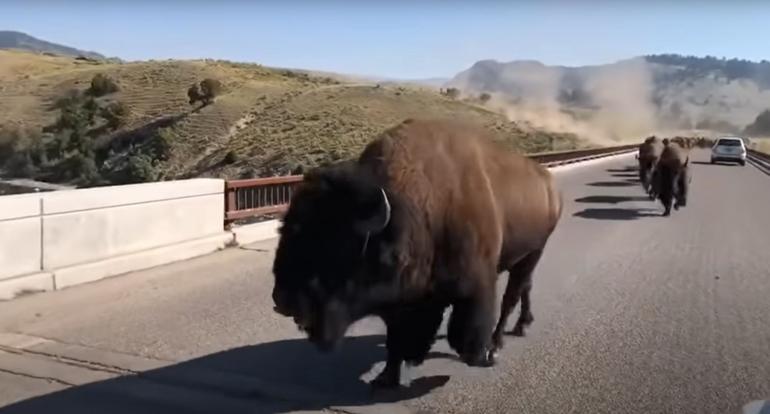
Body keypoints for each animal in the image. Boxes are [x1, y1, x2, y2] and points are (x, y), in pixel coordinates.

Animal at [272, 117, 560, 388]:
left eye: (333, 243)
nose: (282, 300)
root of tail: (549, 184)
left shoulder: (476, 284)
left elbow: (467, 332)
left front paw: (484, 356)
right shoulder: (402, 300)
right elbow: (396, 339)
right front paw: (386, 378)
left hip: (534, 252)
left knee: (511, 297)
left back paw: (499, 341)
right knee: (525, 288)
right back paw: (522, 325)